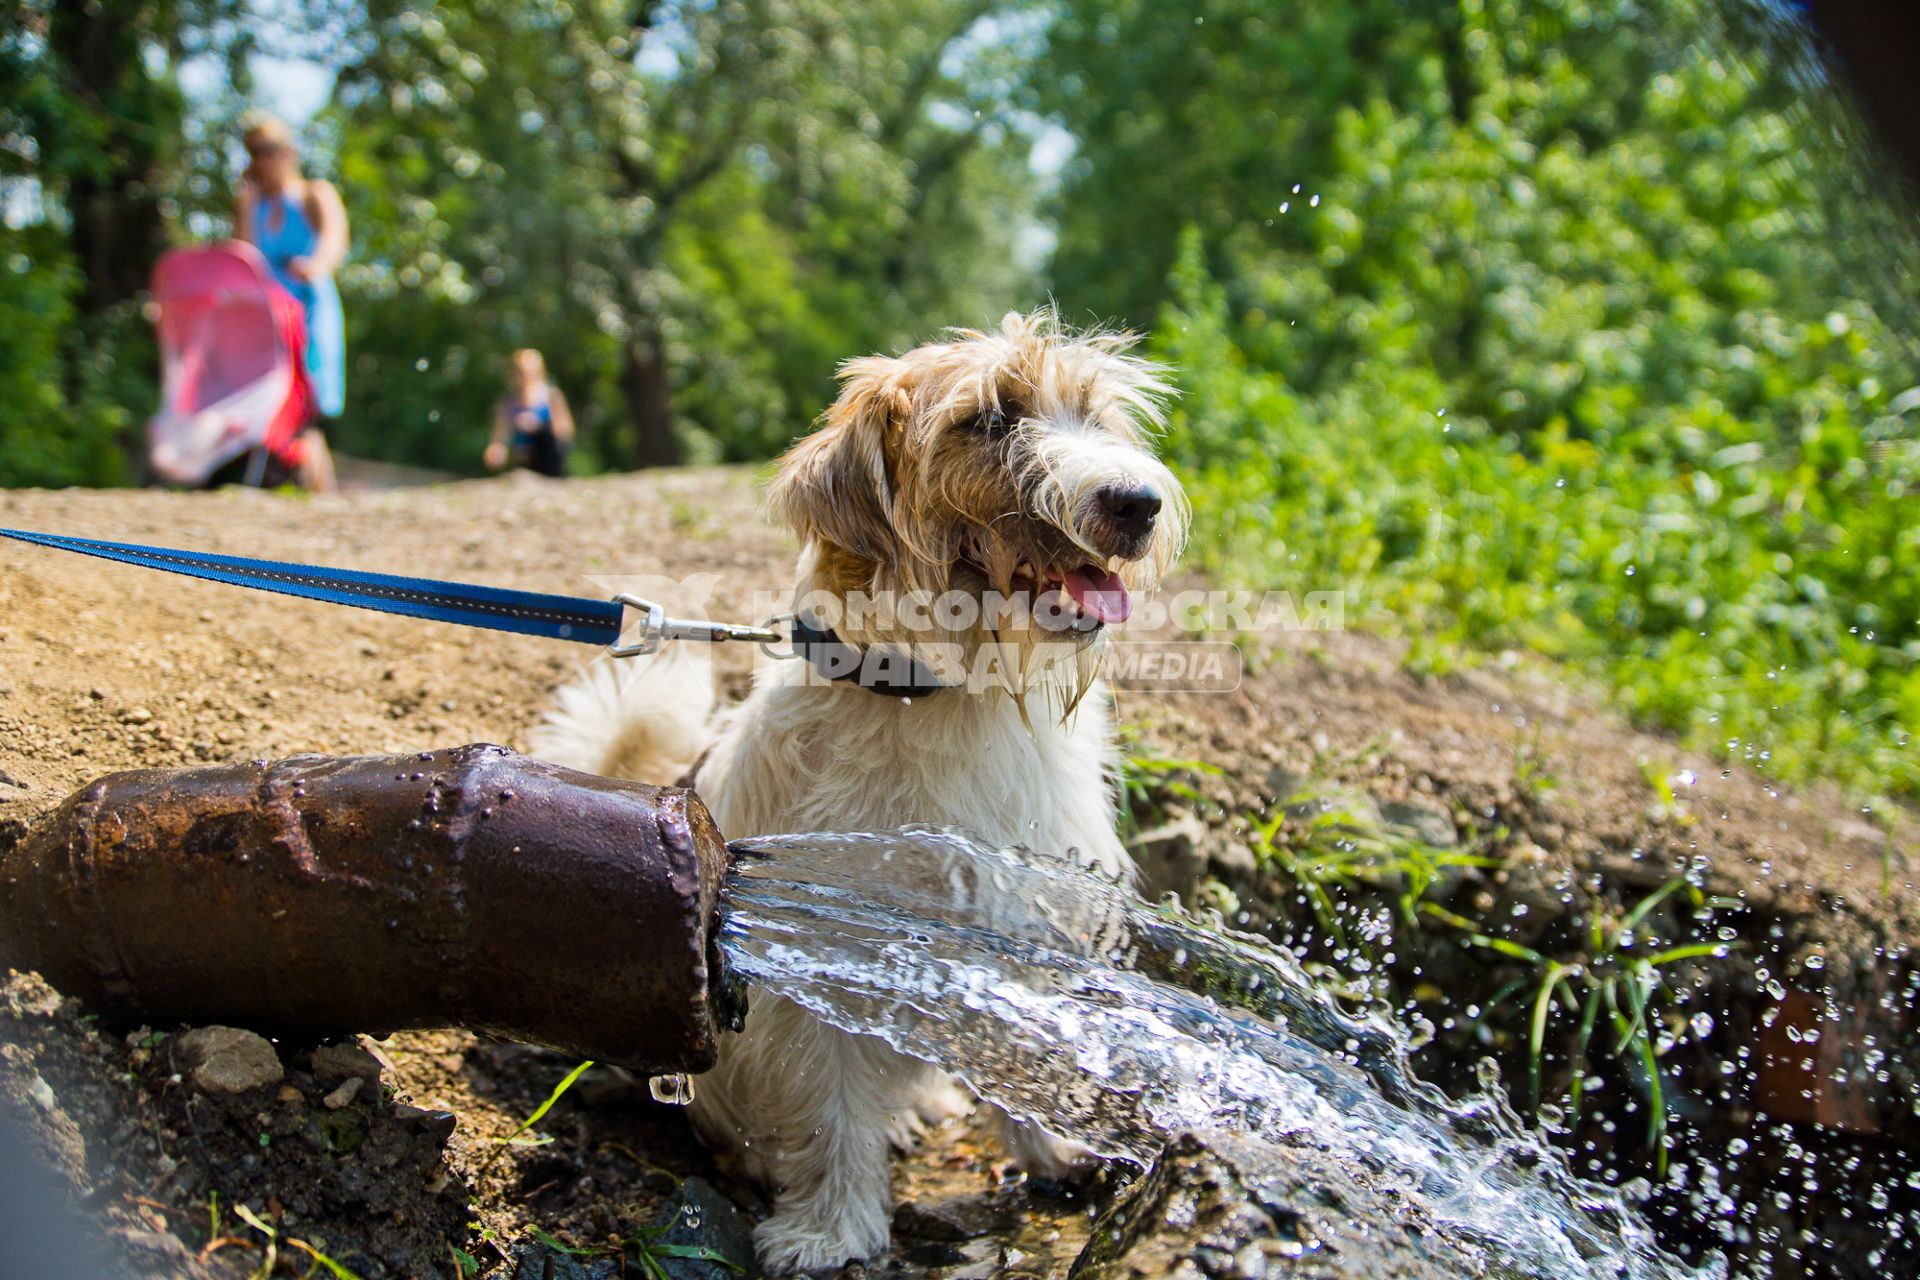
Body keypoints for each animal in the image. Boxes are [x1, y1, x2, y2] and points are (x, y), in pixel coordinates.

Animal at [529, 312, 1182, 1274]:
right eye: (989, 420)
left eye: (1093, 414)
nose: (1137, 502)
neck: (944, 697)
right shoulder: (817, 954)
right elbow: (828, 1108)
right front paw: (831, 1227)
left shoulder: (1018, 920)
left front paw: (1054, 1150)